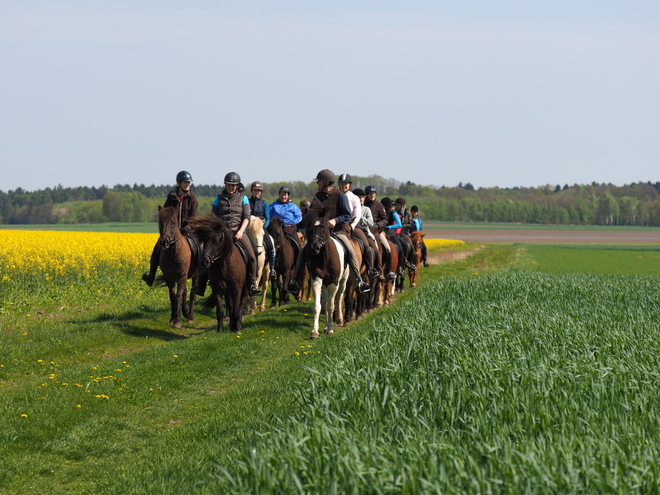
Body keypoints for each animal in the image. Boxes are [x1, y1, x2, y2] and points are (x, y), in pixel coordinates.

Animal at [302, 209, 348, 340]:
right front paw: (314, 332)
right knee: (326, 301)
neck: (325, 257)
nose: (314, 247)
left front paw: (331, 330)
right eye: (309, 227)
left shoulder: (334, 283)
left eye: (323, 226)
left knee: (338, 297)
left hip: (343, 280)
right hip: (325, 284)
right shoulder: (317, 279)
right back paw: (326, 326)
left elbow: (331, 306)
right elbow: (318, 306)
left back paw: (339, 320)